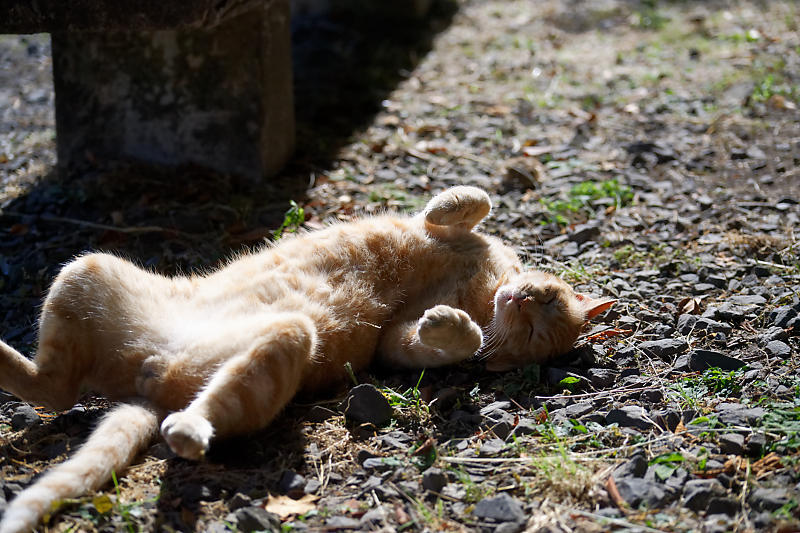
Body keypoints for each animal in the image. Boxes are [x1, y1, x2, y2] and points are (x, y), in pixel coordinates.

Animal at [1, 187, 612, 532]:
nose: (521, 301)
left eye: (533, 330)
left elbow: (452, 339)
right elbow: (472, 201)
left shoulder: (394, 343)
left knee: (165, 408)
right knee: (52, 386)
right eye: (544, 304)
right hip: (85, 267)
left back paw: (189, 430)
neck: (484, 292)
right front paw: (449, 211)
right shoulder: (450, 243)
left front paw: (452, 324)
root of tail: (148, 389)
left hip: (284, 341)